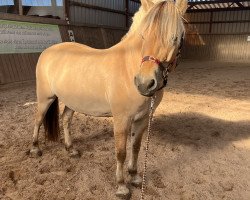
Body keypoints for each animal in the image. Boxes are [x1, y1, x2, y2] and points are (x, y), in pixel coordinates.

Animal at [28, 0, 188, 198]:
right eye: (143, 36)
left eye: (175, 38)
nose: (145, 83)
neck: (129, 69)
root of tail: (48, 51)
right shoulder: (121, 119)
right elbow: (121, 152)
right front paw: (121, 187)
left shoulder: (143, 119)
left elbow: (136, 147)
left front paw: (135, 178)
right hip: (45, 98)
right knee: (38, 120)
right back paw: (35, 149)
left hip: (73, 102)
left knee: (65, 120)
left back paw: (71, 149)